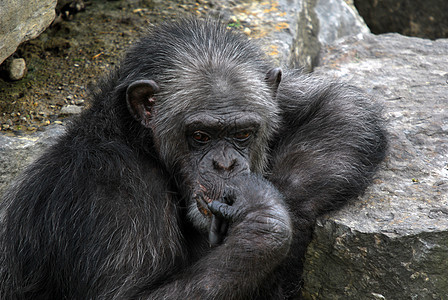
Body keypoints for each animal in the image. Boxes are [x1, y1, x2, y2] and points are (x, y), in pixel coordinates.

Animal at [0, 17, 384, 298]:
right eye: (200, 136)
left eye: (242, 134)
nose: (225, 165)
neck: (141, 144)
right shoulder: (111, 195)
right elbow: (125, 295)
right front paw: (264, 217)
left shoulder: (276, 95)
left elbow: (341, 107)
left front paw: (284, 207)